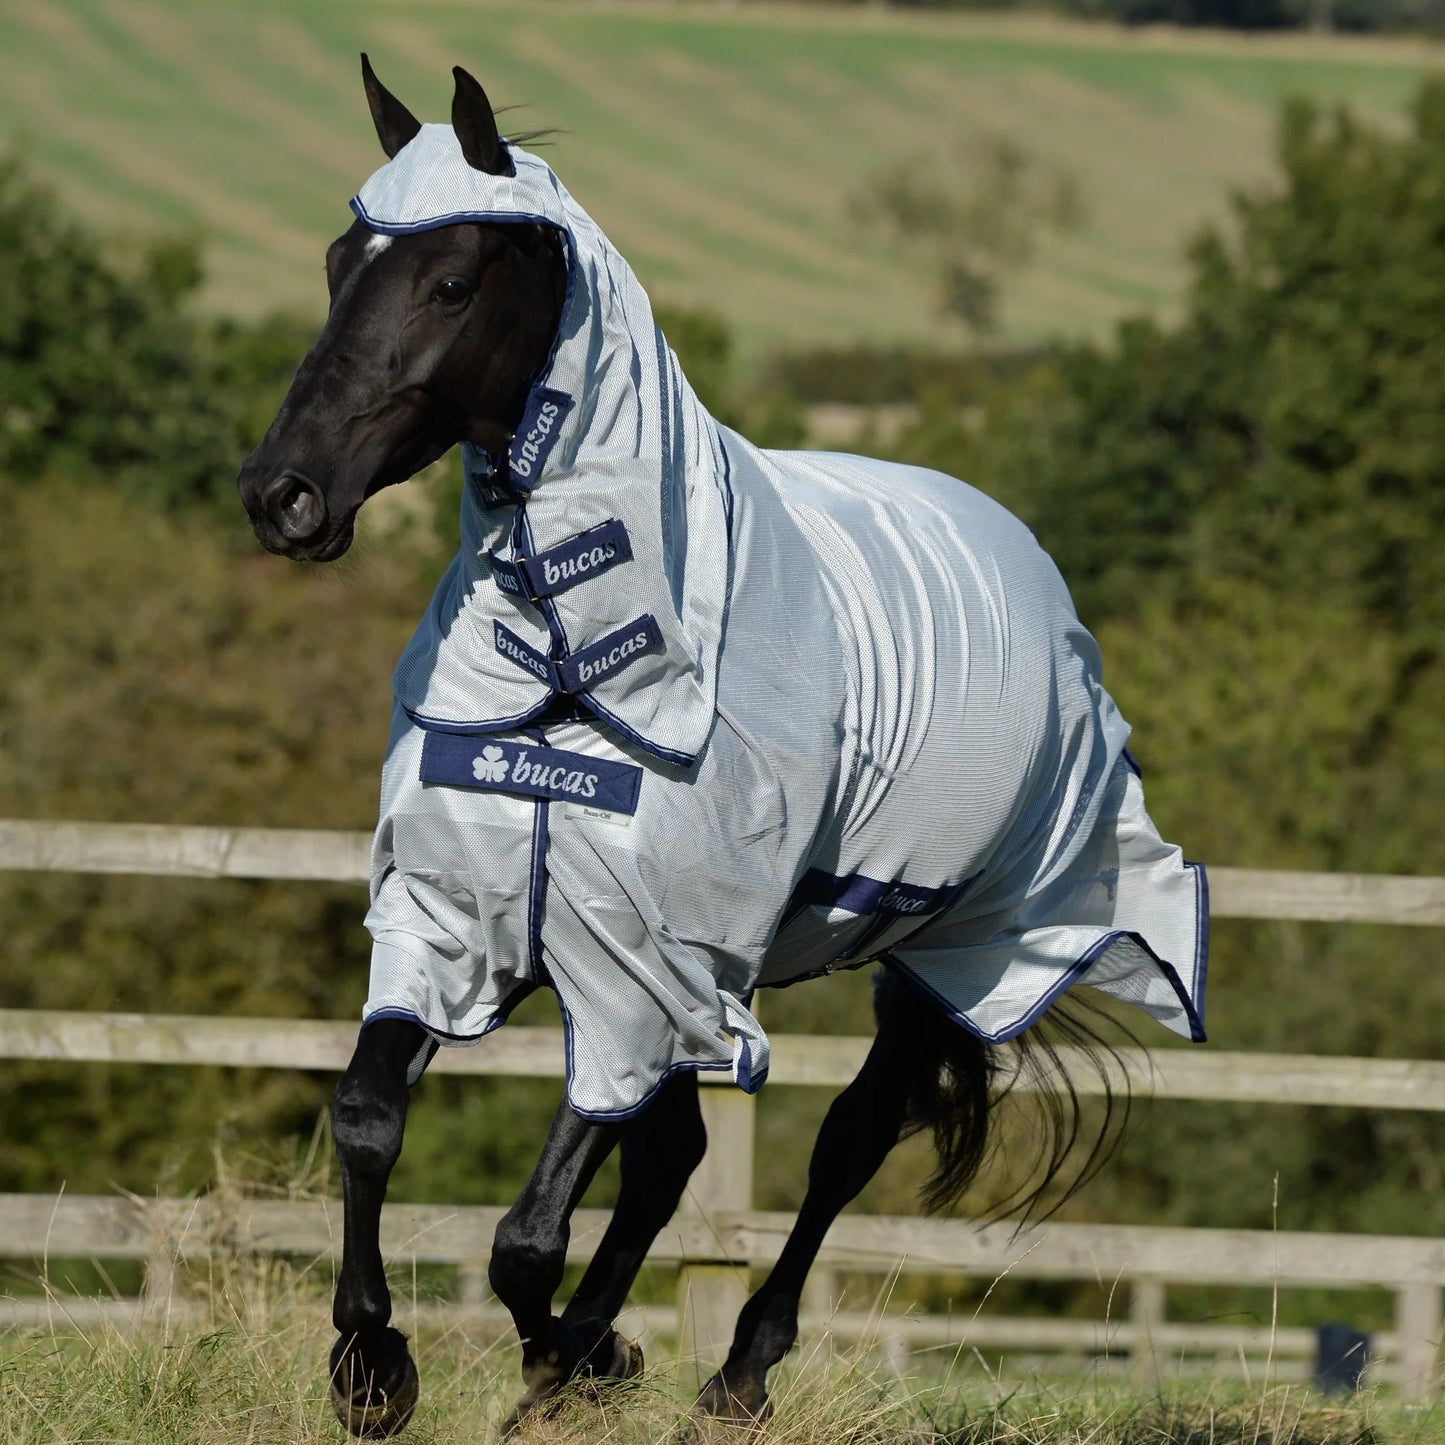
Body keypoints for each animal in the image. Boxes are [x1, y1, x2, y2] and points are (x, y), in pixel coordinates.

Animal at [237, 57, 1207, 1440]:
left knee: (844, 1140)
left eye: (450, 281)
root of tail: (1024, 558)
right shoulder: (476, 920)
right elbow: (372, 1118)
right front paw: (377, 1363)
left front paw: (575, 1357)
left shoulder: (640, 973)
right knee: (671, 1157)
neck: (573, 670)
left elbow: (526, 1236)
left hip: (933, 954)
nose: (284, 496)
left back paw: (733, 1368)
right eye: (337, 260)